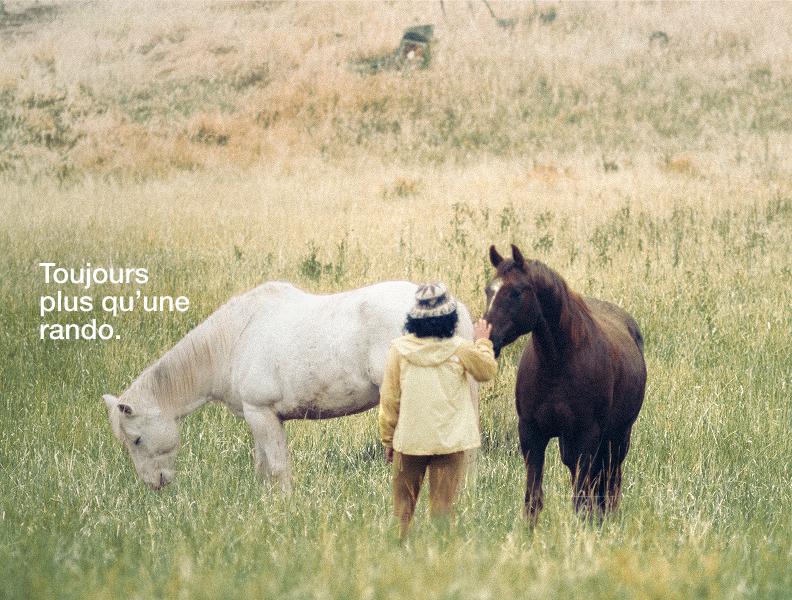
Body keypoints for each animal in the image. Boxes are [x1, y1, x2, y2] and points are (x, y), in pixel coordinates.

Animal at [102, 280, 478, 492]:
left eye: (136, 439)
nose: (154, 484)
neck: (235, 338)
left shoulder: (262, 414)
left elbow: (278, 468)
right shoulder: (260, 418)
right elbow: (264, 467)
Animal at [484, 244, 646, 526]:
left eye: (515, 291)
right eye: (488, 290)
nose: (486, 337)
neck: (557, 364)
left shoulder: (587, 434)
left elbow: (582, 497)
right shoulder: (532, 435)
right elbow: (533, 498)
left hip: (618, 436)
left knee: (611, 481)